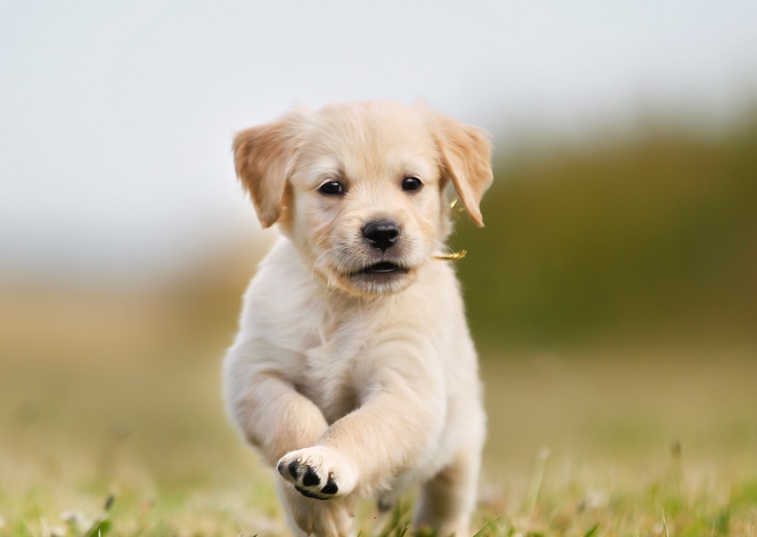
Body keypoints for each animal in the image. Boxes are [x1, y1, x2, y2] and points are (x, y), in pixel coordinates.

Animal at [223, 100, 496, 536]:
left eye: (411, 183)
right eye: (332, 187)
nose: (382, 231)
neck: (345, 304)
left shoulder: (406, 388)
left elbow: (359, 428)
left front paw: (325, 461)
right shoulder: (255, 373)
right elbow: (294, 417)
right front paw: (318, 505)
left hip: (461, 448)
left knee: (445, 505)